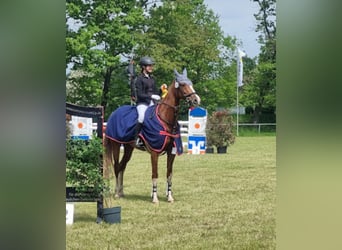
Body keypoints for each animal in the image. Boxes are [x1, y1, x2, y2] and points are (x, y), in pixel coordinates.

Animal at [104, 68, 200, 203]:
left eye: (190, 83)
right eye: (182, 85)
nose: (196, 100)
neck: (165, 119)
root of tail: (114, 113)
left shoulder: (171, 152)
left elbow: (169, 174)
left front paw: (169, 197)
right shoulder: (154, 152)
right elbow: (155, 174)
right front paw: (155, 198)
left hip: (129, 148)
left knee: (123, 165)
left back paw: (121, 192)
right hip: (116, 145)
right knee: (117, 166)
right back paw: (117, 193)